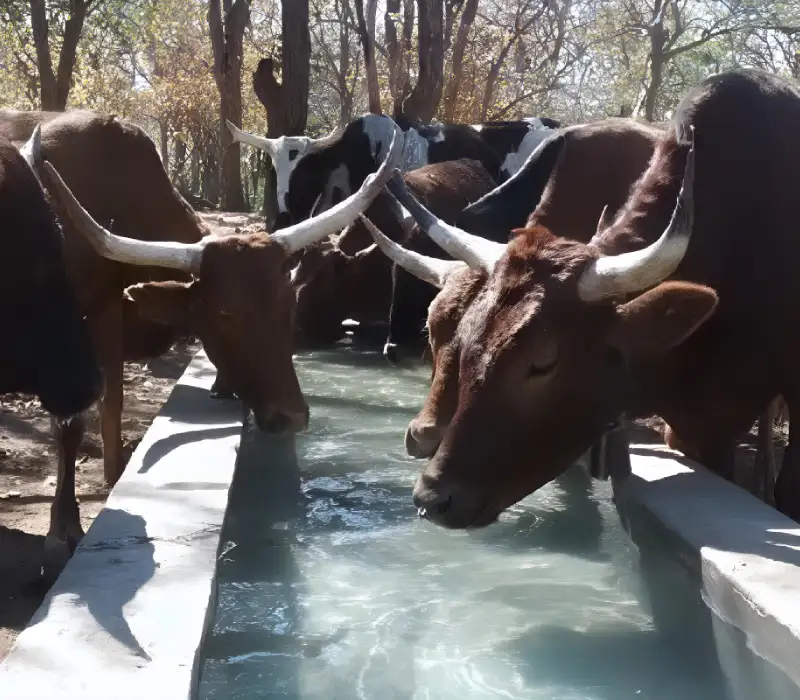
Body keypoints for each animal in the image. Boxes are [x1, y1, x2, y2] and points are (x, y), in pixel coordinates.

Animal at [3, 109, 402, 572]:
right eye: (226, 314)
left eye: (288, 303)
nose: (291, 416)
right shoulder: (79, 336)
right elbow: (76, 422)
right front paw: (63, 529)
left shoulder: (107, 311)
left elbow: (111, 406)